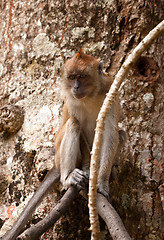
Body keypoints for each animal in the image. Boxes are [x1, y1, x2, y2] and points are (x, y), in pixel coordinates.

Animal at [54, 48, 121, 199]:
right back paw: (68, 178)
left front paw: (102, 181)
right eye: (72, 77)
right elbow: (81, 128)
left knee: (121, 134)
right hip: (58, 156)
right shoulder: (71, 99)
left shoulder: (110, 92)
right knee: (73, 123)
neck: (90, 95)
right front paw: (86, 167)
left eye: (83, 76)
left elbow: (110, 133)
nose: (76, 87)